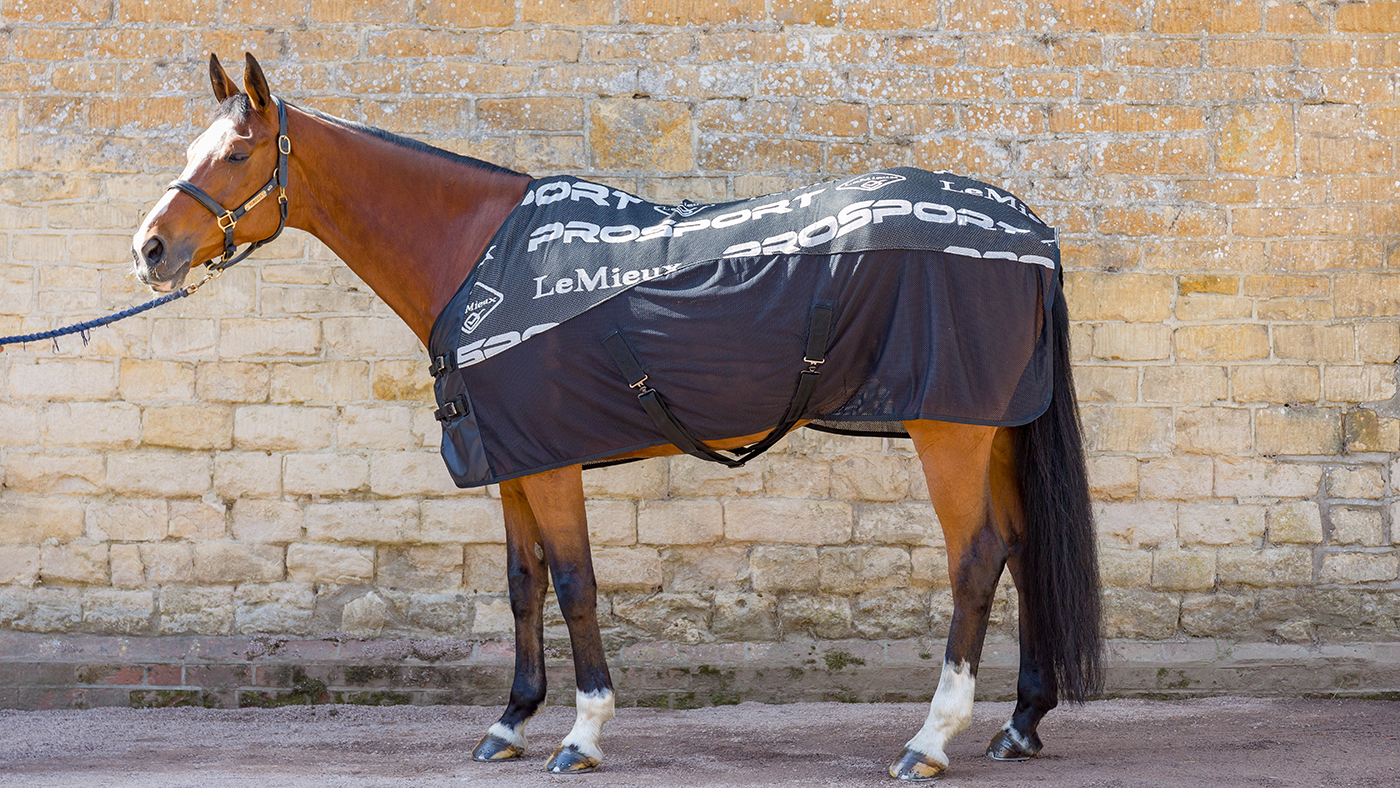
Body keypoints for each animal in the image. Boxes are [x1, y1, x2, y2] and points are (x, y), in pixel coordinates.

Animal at [130, 53, 1102, 780]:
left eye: (238, 154)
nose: (150, 249)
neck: (485, 262)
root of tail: (1032, 232)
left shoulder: (553, 460)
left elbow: (574, 583)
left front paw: (582, 734)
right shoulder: (514, 457)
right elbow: (523, 585)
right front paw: (509, 723)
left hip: (950, 433)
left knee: (976, 558)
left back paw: (929, 741)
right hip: (994, 429)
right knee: (1024, 550)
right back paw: (1018, 725)